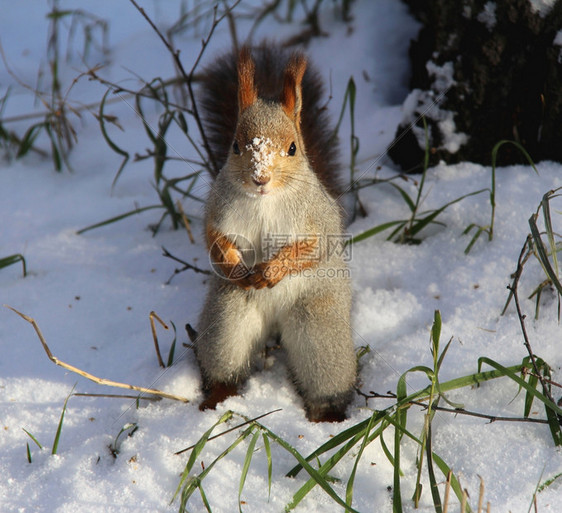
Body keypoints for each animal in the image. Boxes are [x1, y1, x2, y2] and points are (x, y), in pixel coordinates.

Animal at [192, 43, 354, 420]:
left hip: (320, 329)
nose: (260, 178)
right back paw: (216, 398)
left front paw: (272, 269)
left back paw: (327, 415)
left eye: (292, 147)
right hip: (228, 321)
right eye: (235, 146)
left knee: (326, 378)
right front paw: (234, 265)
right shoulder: (218, 211)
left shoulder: (318, 220)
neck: (265, 201)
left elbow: (312, 249)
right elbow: (213, 239)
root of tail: (276, 326)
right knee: (225, 361)